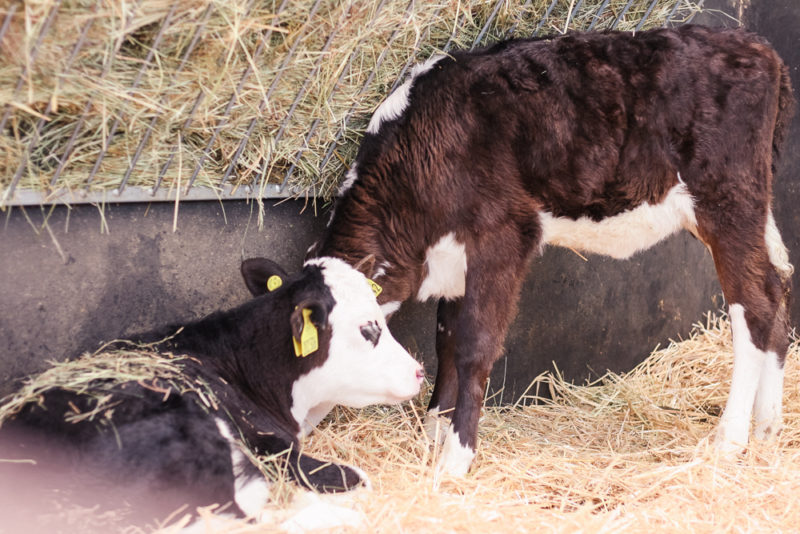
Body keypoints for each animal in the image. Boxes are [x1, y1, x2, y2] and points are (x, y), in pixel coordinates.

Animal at [308, 24, 795, 476]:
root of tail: (757, 46)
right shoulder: (455, 259)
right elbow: (445, 340)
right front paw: (434, 432)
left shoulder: (502, 237)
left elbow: (473, 348)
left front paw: (455, 458)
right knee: (777, 286)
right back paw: (767, 428)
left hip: (727, 199)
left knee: (754, 304)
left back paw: (730, 439)